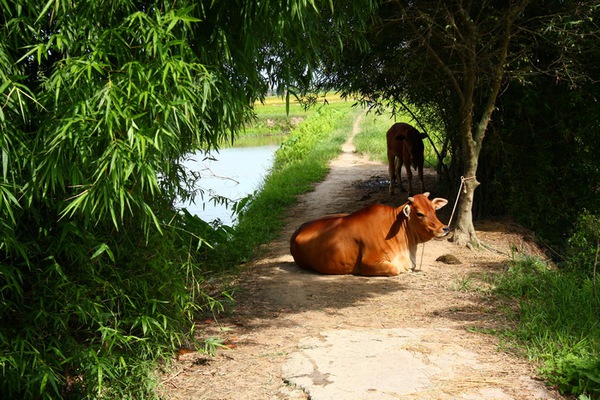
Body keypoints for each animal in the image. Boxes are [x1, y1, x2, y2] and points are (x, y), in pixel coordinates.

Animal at [288, 193, 448, 276]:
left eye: (434, 209)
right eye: (419, 213)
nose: (445, 228)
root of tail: (297, 231)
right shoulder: (368, 263)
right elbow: (396, 269)